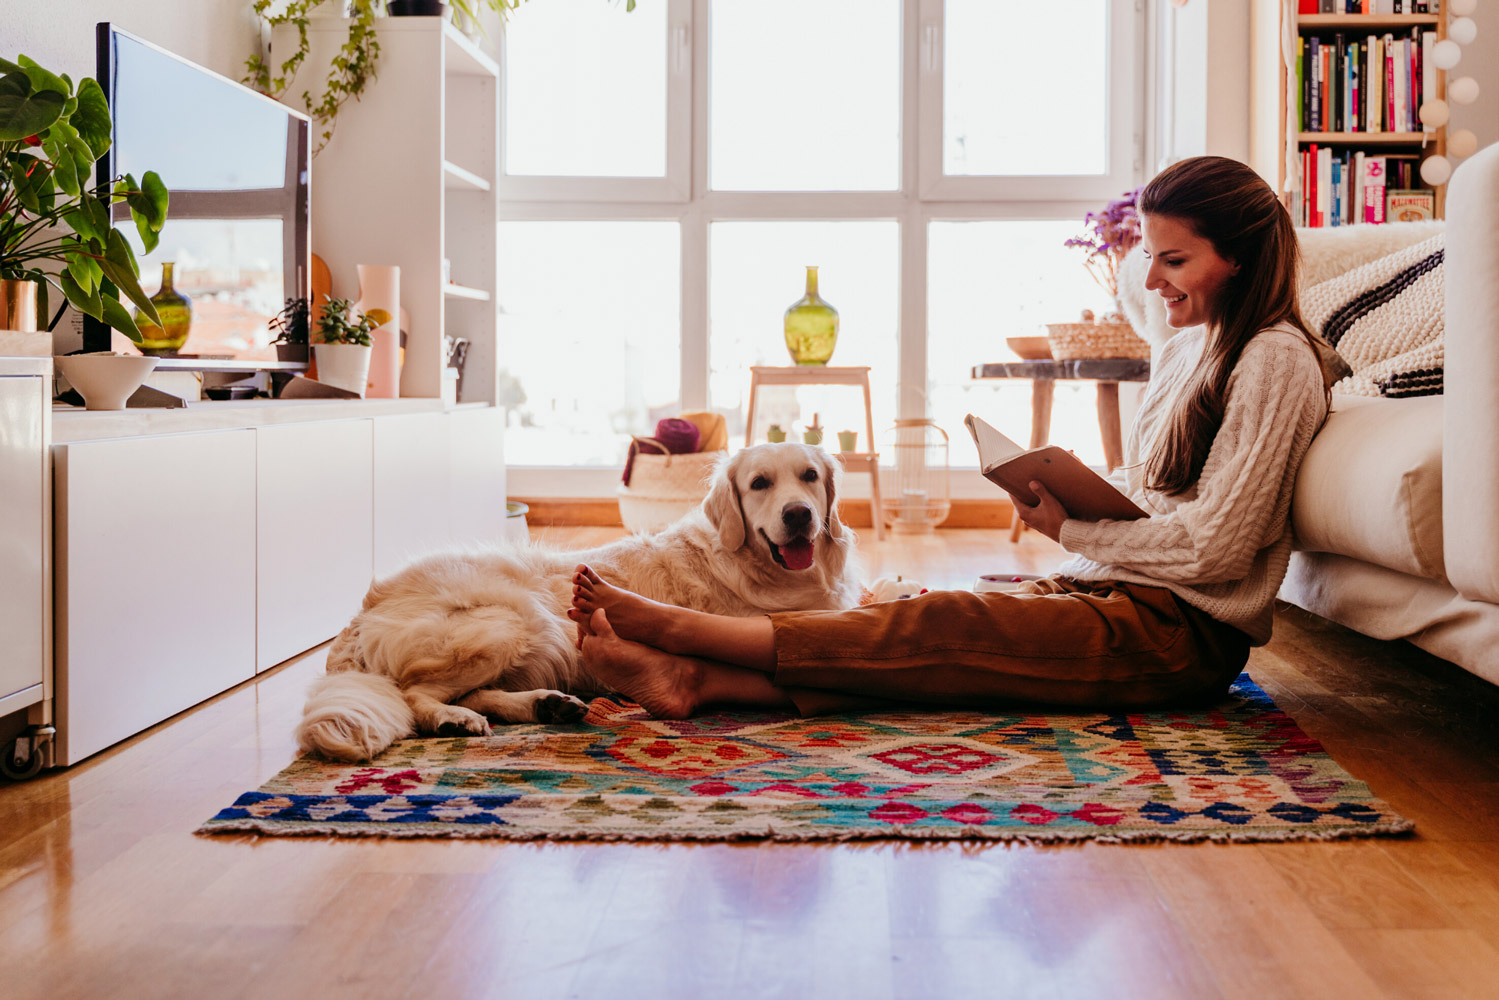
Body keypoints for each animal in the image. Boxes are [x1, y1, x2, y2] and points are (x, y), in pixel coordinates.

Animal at [295, 440, 857, 761]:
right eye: (760, 483)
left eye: (809, 476)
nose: (799, 515)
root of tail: (363, 611)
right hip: (513, 621)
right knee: (414, 693)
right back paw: (452, 719)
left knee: (474, 693)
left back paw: (546, 706)